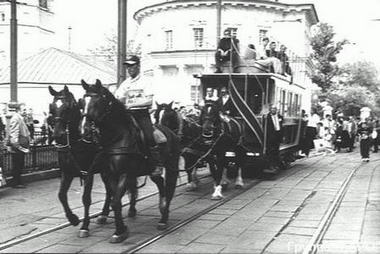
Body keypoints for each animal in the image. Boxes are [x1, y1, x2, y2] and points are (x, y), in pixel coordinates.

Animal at [48, 85, 112, 238]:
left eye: (68, 107)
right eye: (51, 108)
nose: (57, 135)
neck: (76, 142)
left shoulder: (88, 173)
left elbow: (86, 198)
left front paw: (84, 226)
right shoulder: (67, 172)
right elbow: (61, 195)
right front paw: (73, 219)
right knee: (109, 189)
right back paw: (104, 214)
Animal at [80, 80, 180, 243]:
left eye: (98, 102)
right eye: (82, 102)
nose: (85, 130)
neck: (116, 138)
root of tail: (170, 131)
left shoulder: (124, 174)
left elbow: (115, 201)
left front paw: (119, 232)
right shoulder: (108, 174)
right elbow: (114, 200)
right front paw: (121, 228)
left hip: (171, 166)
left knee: (169, 189)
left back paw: (163, 219)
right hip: (151, 171)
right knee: (160, 184)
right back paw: (161, 208)